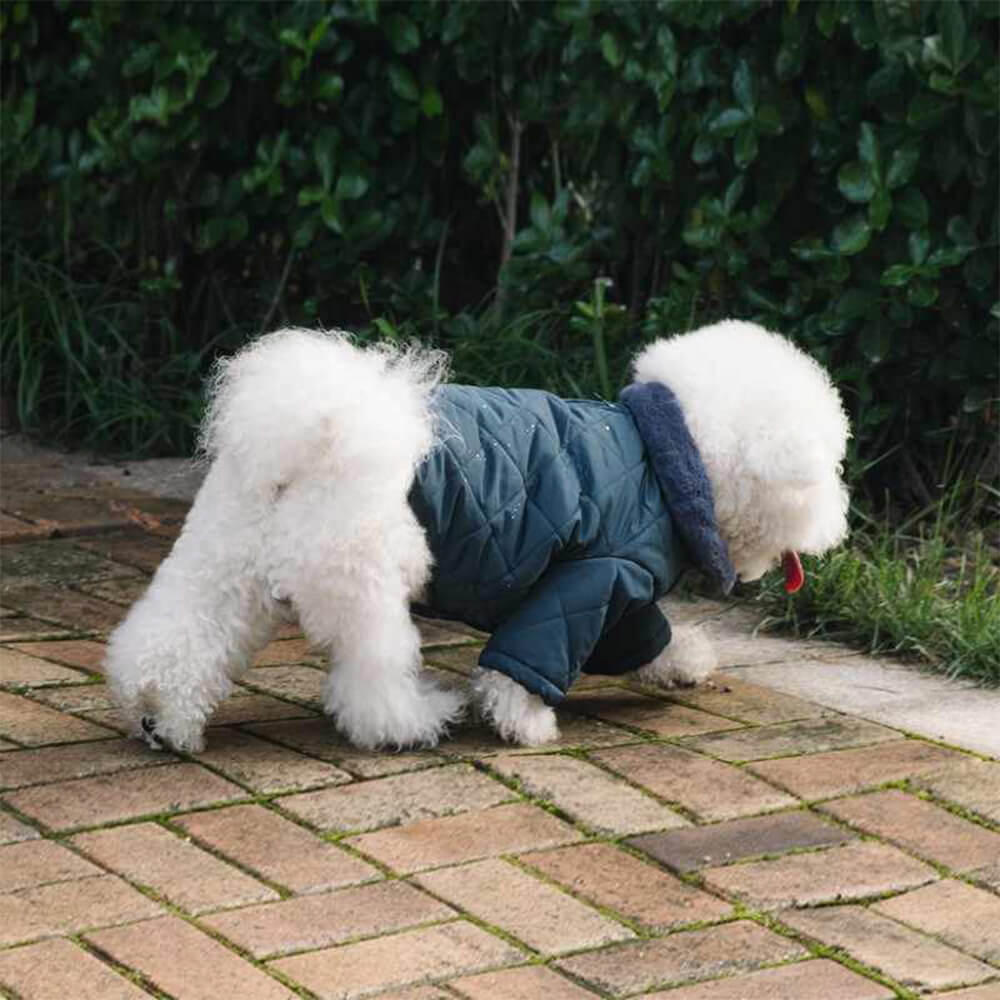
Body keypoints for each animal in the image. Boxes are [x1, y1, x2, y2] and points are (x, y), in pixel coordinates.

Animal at [105, 320, 848, 752]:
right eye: (833, 464)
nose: (840, 516)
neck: (666, 455)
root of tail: (315, 433)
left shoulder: (617, 592)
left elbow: (640, 635)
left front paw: (680, 661)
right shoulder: (595, 572)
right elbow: (530, 660)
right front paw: (525, 724)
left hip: (226, 559)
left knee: (177, 642)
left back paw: (165, 720)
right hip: (366, 577)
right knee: (372, 682)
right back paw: (413, 723)